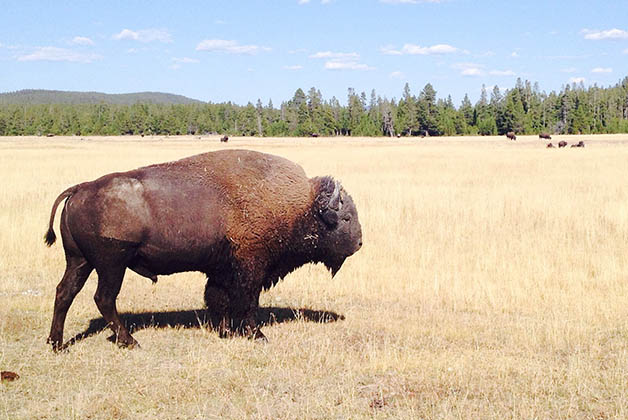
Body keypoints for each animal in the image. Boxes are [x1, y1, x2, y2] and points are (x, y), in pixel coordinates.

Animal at [44, 149, 364, 350]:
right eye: (346, 218)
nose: (360, 243)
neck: (297, 205)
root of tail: (81, 188)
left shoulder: (220, 270)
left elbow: (217, 299)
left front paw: (224, 332)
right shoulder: (250, 267)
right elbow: (246, 302)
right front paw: (256, 335)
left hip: (79, 261)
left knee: (65, 293)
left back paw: (57, 344)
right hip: (111, 264)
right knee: (104, 298)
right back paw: (130, 341)